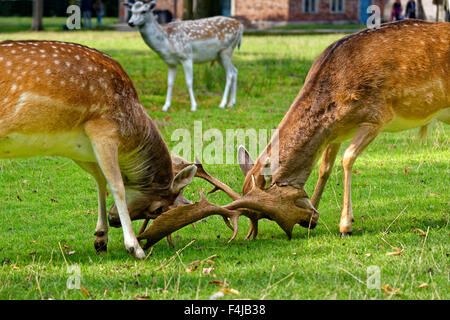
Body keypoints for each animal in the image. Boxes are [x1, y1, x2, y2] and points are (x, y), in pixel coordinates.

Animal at [135, 19, 448, 248]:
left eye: (273, 211)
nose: (308, 221)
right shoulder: (336, 131)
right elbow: (324, 167)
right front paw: (320, 213)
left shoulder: (377, 116)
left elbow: (347, 160)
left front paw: (345, 225)